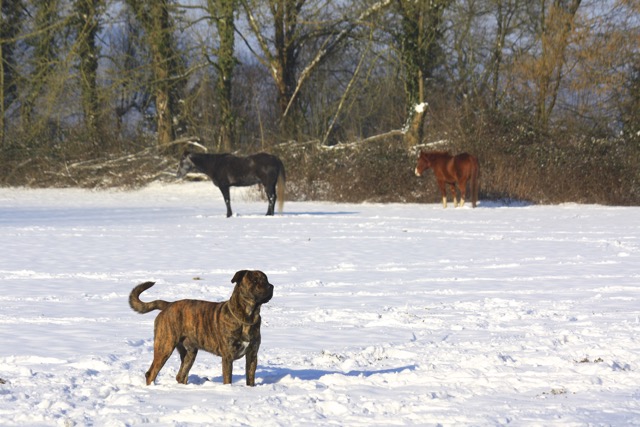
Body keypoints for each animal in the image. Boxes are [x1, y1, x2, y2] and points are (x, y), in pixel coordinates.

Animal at [129, 270, 274, 388]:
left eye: (266, 279)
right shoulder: (228, 356)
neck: (248, 317)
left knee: (181, 375)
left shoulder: (252, 354)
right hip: (165, 346)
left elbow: (250, 378)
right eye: (254, 281)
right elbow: (228, 379)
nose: (271, 286)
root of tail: (167, 304)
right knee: (151, 373)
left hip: (190, 352)